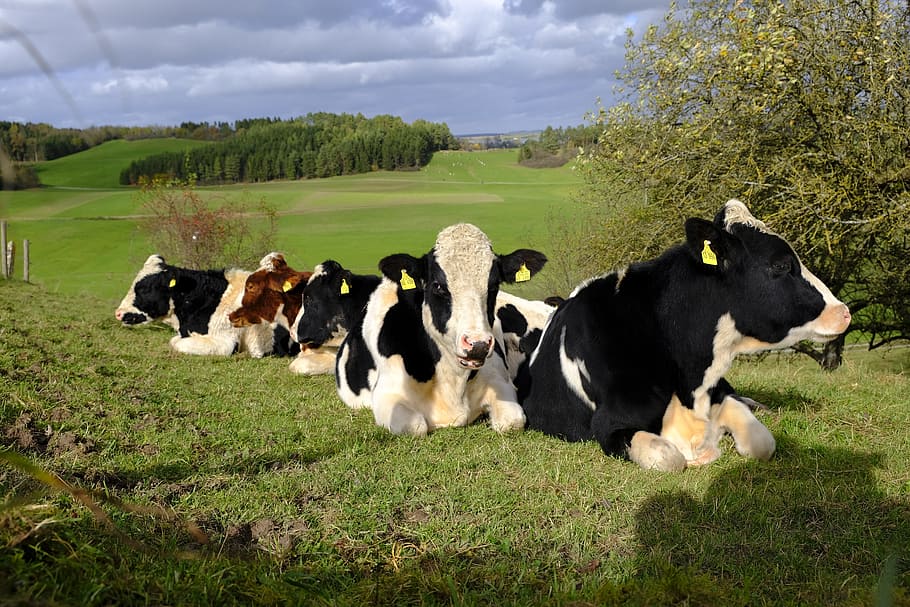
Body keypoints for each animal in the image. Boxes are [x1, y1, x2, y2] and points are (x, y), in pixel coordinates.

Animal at [344, 223, 547, 435]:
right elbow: (415, 426)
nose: (478, 345)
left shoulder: (501, 381)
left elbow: (513, 421)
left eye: (493, 286)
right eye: (438, 286)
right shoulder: (387, 393)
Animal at [518, 200, 851, 471]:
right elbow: (669, 457)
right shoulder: (609, 425)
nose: (844, 312)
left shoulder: (719, 392)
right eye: (781, 264)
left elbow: (763, 442)